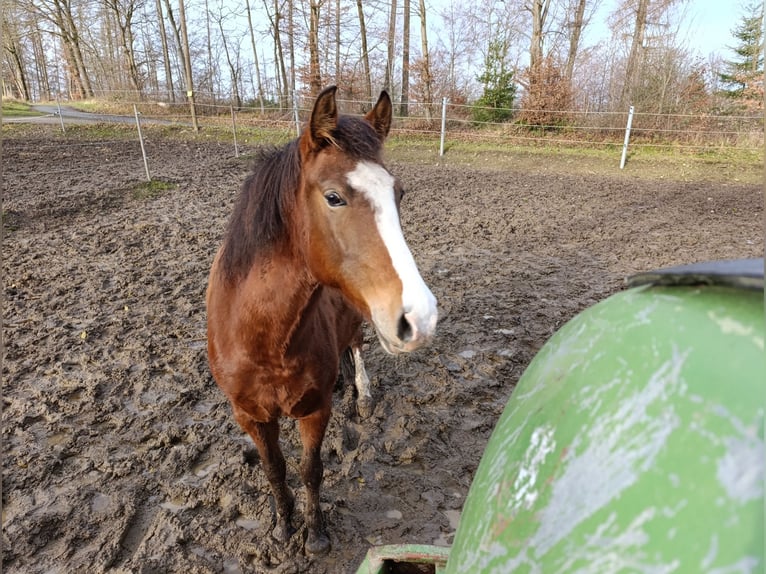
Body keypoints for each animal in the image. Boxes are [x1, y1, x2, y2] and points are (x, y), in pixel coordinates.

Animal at [206, 86, 438, 556]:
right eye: (333, 197)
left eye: (399, 193)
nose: (419, 317)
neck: (264, 339)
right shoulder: (250, 416)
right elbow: (275, 470)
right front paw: (283, 526)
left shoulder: (314, 410)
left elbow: (310, 469)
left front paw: (315, 534)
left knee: (357, 347)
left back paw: (362, 395)